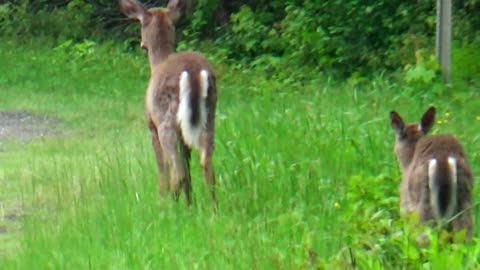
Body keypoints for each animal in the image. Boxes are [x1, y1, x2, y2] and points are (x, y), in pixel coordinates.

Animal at [120, 0, 218, 208]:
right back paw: (214, 209)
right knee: (205, 163)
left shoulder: (151, 126)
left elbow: (162, 167)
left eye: (140, 24)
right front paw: (190, 206)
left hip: (166, 120)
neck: (159, 61)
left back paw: (167, 208)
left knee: (176, 171)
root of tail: (194, 73)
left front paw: (164, 197)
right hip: (209, 114)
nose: (142, 44)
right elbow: (188, 169)